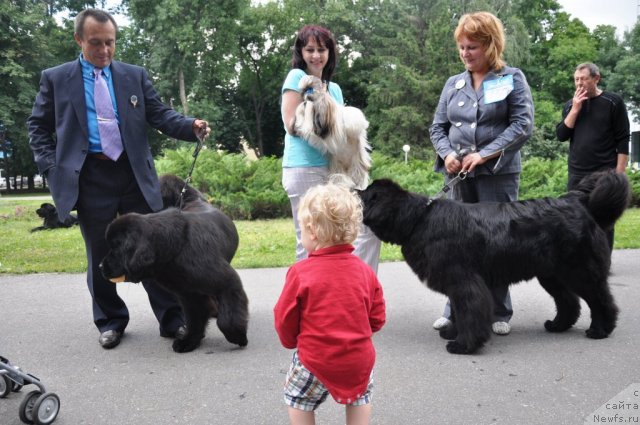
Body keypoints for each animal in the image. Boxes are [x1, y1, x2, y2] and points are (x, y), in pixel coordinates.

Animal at [100, 174, 250, 352]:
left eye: (115, 248)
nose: (100, 266)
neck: (175, 247)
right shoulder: (188, 294)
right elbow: (194, 319)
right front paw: (189, 341)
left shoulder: (227, 283)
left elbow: (227, 319)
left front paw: (238, 336)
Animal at [358, 171, 632, 352]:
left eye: (364, 196)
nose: (352, 190)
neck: (418, 219)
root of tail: (575, 201)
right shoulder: (456, 283)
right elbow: (457, 310)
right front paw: (452, 332)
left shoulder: (464, 281)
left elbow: (468, 310)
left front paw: (463, 344)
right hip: (551, 273)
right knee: (568, 301)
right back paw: (557, 325)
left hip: (579, 270)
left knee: (600, 299)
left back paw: (600, 330)